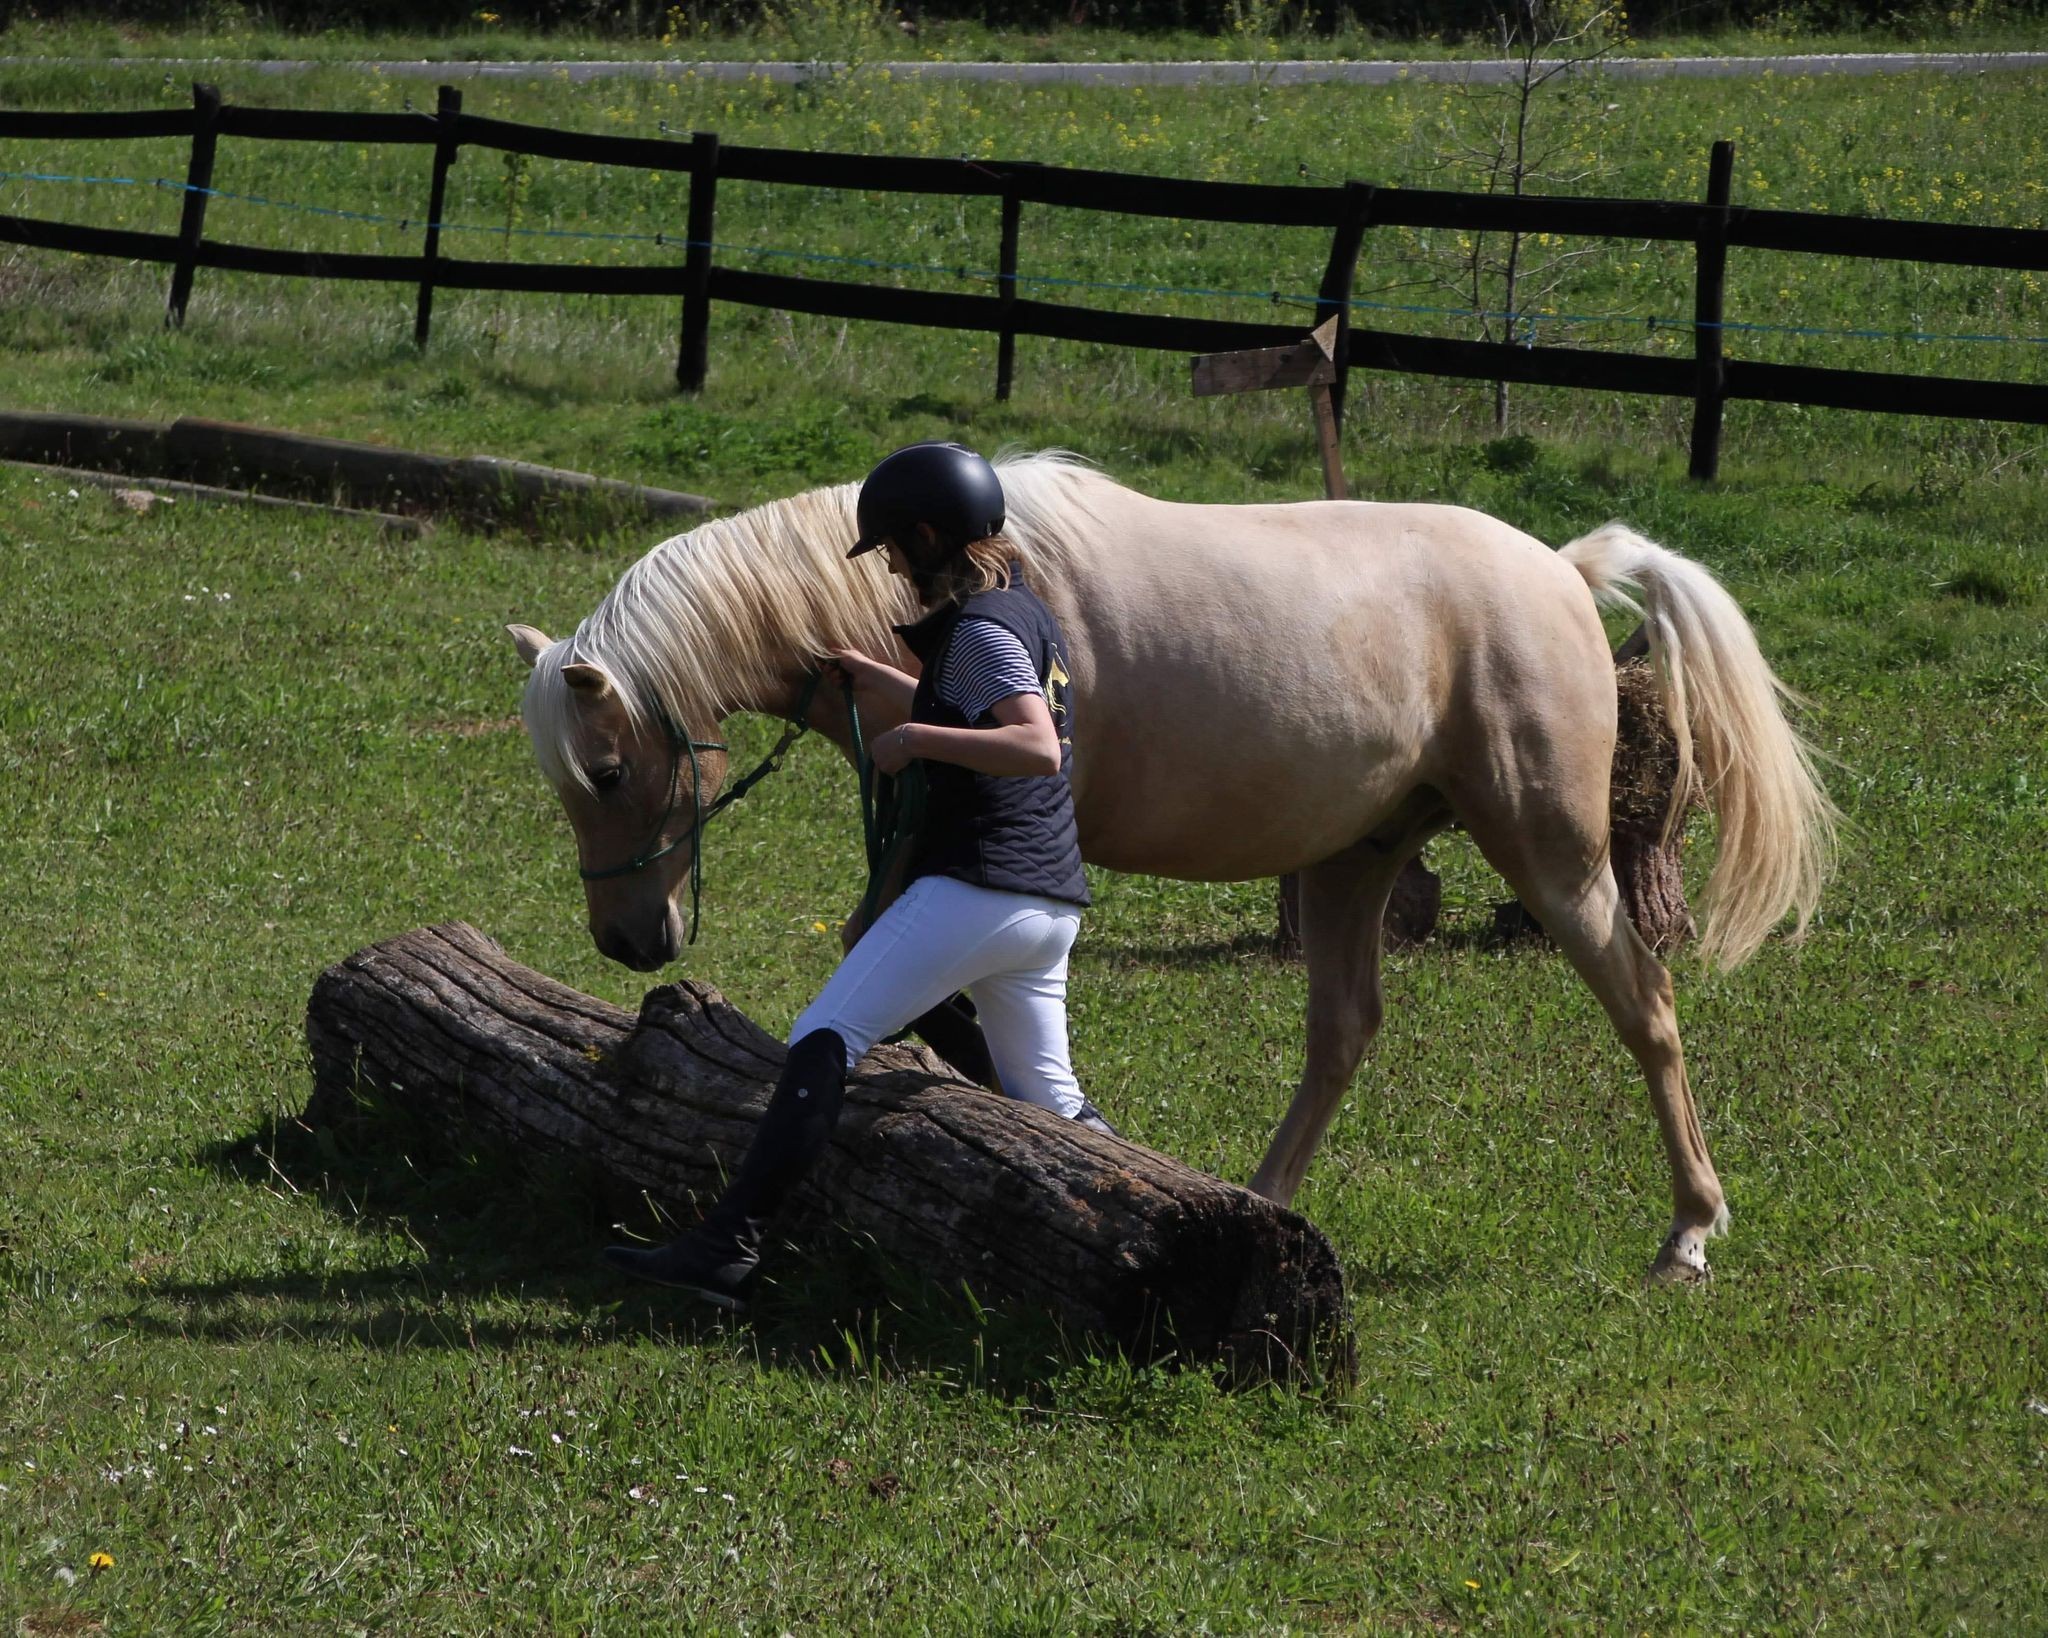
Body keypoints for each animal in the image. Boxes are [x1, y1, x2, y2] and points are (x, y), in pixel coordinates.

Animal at [503, 448, 1835, 1277]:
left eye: (606, 772)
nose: (627, 939)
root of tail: (1560, 569)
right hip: (1352, 862)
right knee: (1342, 1033)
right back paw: (1259, 1201)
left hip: (1552, 858)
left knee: (1644, 1008)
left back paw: (1688, 1231)